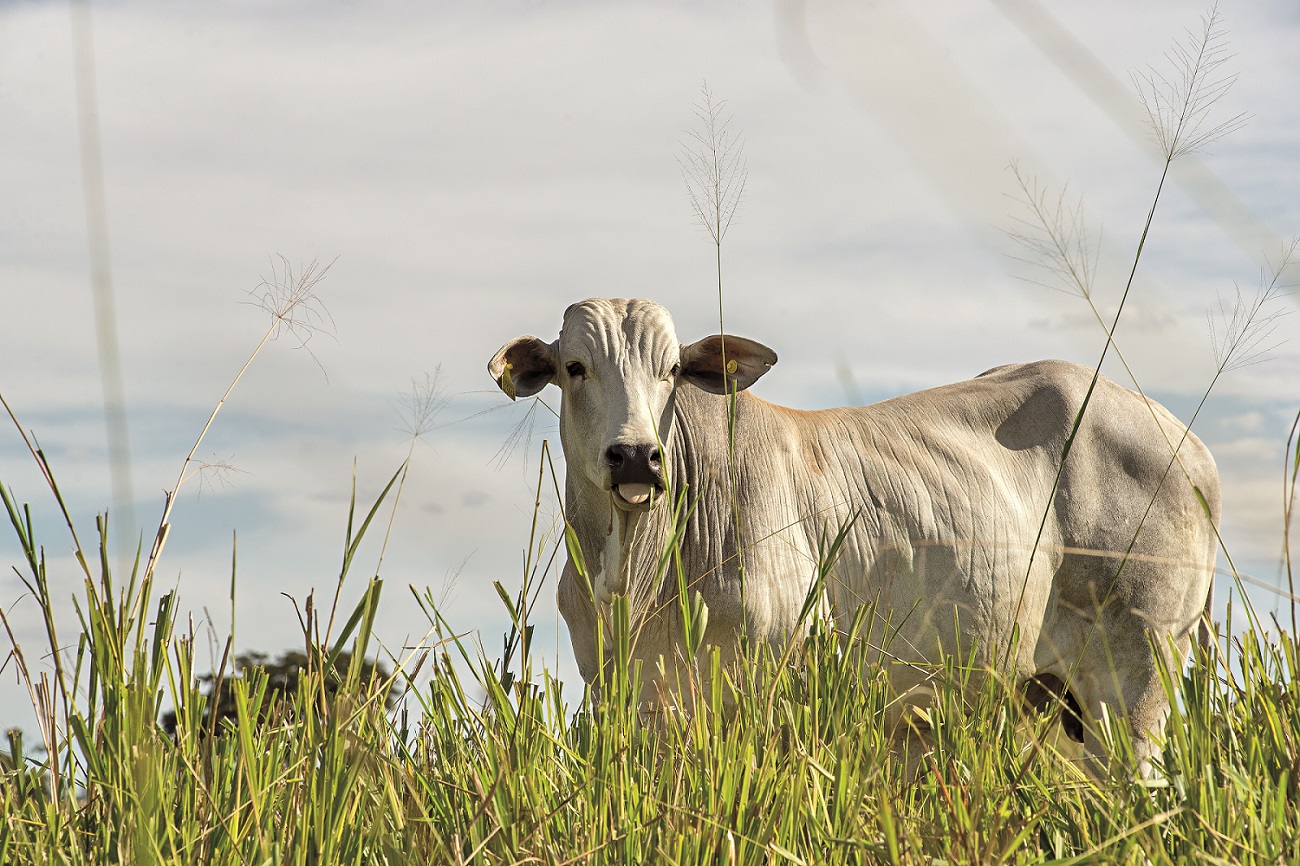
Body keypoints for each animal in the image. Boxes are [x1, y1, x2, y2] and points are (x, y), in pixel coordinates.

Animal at [488, 296, 1216, 769]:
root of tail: (1184, 441)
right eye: (575, 368)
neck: (636, 576)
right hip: (1052, 700)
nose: (638, 456)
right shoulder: (628, 696)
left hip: (1137, 678)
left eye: (671, 371)